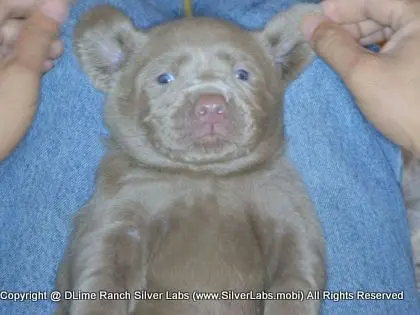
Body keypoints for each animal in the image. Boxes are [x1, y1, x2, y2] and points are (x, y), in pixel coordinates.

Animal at [55, 3, 324, 315]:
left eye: (242, 74)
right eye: (164, 78)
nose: (211, 106)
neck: (204, 175)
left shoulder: (287, 213)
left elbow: (295, 279)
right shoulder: (116, 217)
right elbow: (101, 283)